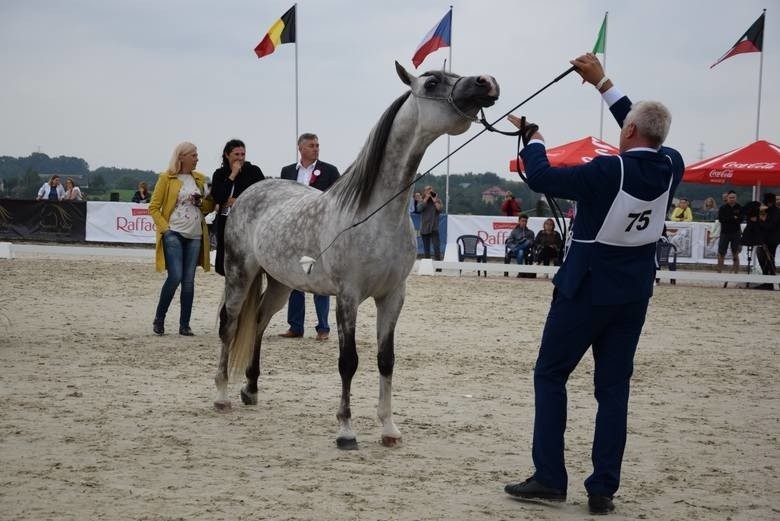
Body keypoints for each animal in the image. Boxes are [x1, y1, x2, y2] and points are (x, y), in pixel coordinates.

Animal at [215, 63, 500, 448]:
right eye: (432, 83)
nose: (486, 82)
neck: (375, 212)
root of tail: (249, 191)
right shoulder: (348, 297)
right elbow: (348, 361)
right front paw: (346, 430)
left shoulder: (392, 296)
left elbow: (386, 359)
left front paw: (389, 429)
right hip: (239, 273)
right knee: (229, 324)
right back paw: (222, 395)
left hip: (280, 284)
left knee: (258, 321)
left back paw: (251, 389)